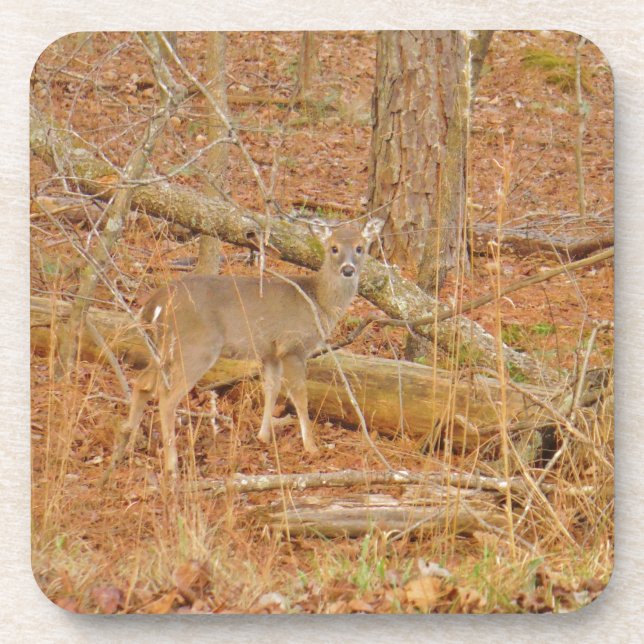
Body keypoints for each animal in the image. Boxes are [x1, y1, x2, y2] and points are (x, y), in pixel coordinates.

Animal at [111, 218, 384, 478]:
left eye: (360, 247)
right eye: (333, 248)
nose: (348, 269)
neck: (318, 303)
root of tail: (154, 303)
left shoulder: (270, 352)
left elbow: (271, 389)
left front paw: (263, 436)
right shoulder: (292, 346)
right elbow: (299, 396)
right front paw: (311, 447)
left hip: (162, 349)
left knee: (142, 383)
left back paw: (129, 444)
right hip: (196, 347)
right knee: (167, 397)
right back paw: (172, 466)